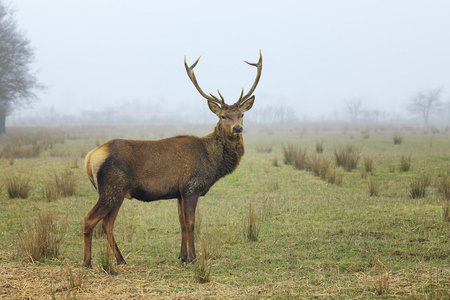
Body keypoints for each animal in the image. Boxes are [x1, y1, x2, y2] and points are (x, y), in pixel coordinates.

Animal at [82, 51, 262, 268]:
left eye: (241, 114)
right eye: (223, 116)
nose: (238, 128)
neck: (212, 162)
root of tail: (90, 157)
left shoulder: (178, 192)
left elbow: (182, 223)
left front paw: (183, 257)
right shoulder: (191, 187)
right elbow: (191, 223)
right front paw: (194, 258)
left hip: (117, 192)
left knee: (107, 224)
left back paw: (121, 259)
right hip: (111, 188)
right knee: (89, 219)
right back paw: (87, 262)